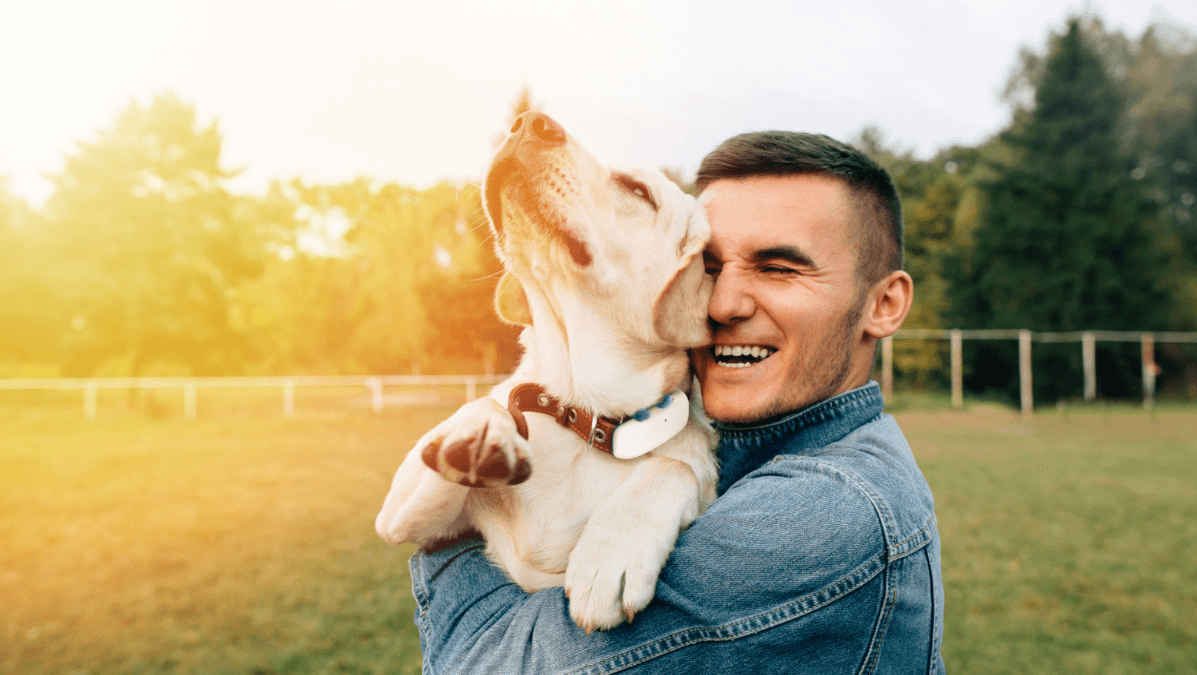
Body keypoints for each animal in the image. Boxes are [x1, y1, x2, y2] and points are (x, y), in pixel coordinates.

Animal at [373, 110, 713, 631]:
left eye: (638, 191)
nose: (530, 122)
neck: (582, 412)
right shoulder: (410, 520)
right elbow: (484, 407)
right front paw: (482, 435)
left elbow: (674, 465)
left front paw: (610, 554)